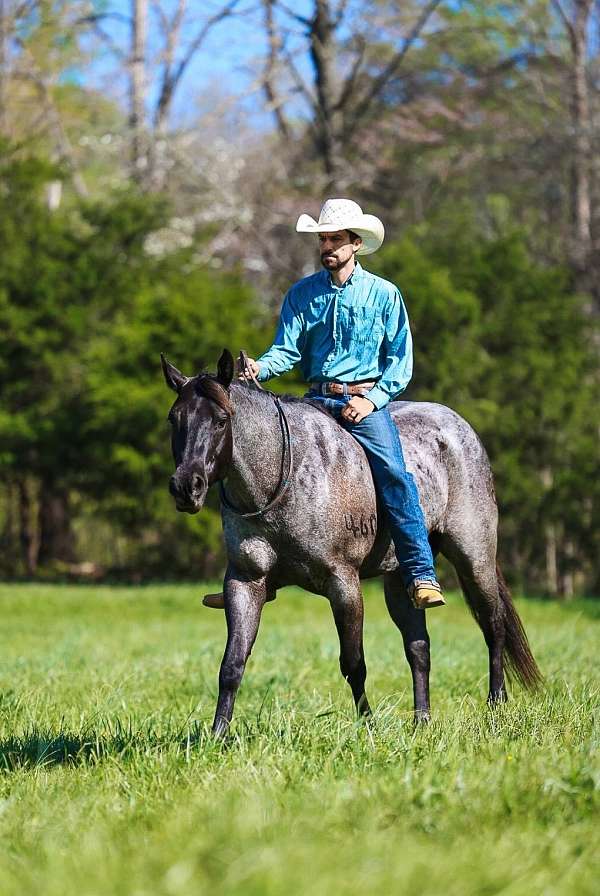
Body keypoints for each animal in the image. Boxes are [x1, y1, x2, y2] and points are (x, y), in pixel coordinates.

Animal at [162, 349, 541, 738]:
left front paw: (368, 726)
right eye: (174, 419)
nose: (186, 487)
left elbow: (353, 662)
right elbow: (232, 664)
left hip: (473, 556)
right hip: (400, 579)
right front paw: (217, 735)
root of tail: (461, 429)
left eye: (221, 420)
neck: (281, 479)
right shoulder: (244, 582)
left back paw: (496, 705)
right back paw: (421, 720)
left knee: (493, 624)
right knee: (419, 647)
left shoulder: (342, 583)